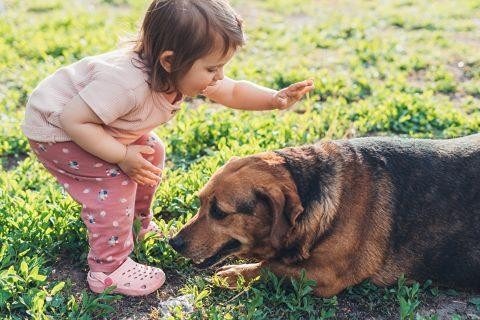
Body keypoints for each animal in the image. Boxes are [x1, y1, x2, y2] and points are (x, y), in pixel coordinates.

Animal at [171, 134, 480, 296]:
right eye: (200, 202)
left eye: (219, 212)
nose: (173, 243)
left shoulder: (324, 275)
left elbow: (270, 267)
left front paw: (235, 273)